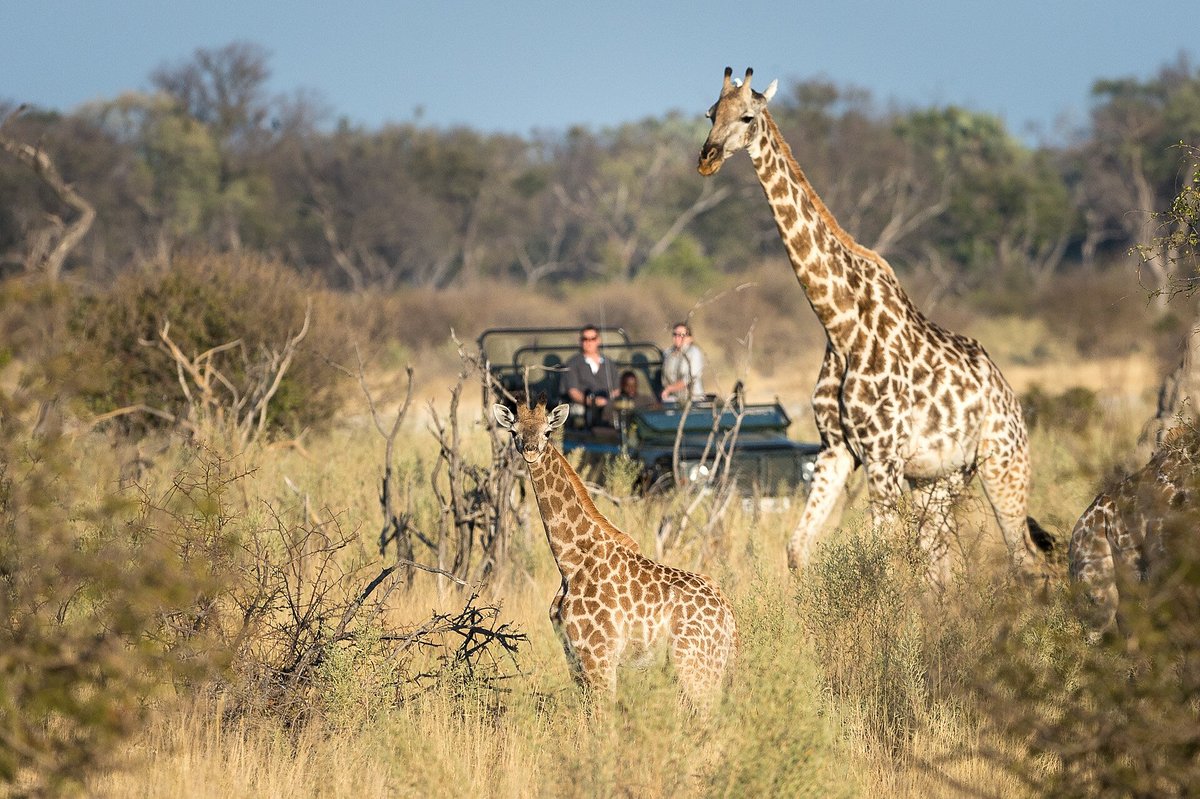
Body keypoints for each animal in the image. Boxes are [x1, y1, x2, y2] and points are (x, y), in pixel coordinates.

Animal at [492, 400, 734, 705]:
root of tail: (729, 615)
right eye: (514, 431)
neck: (570, 561)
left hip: (696, 665)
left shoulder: (599, 656)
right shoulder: (574, 656)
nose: (531, 451)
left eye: (548, 431)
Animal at [700, 66, 1056, 578]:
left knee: (1027, 559)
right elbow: (798, 549)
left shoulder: (883, 454)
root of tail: (1010, 396)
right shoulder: (836, 449)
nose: (707, 159)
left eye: (747, 115)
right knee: (943, 562)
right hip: (941, 477)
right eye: (711, 113)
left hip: (1003, 463)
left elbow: (883, 558)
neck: (839, 324)